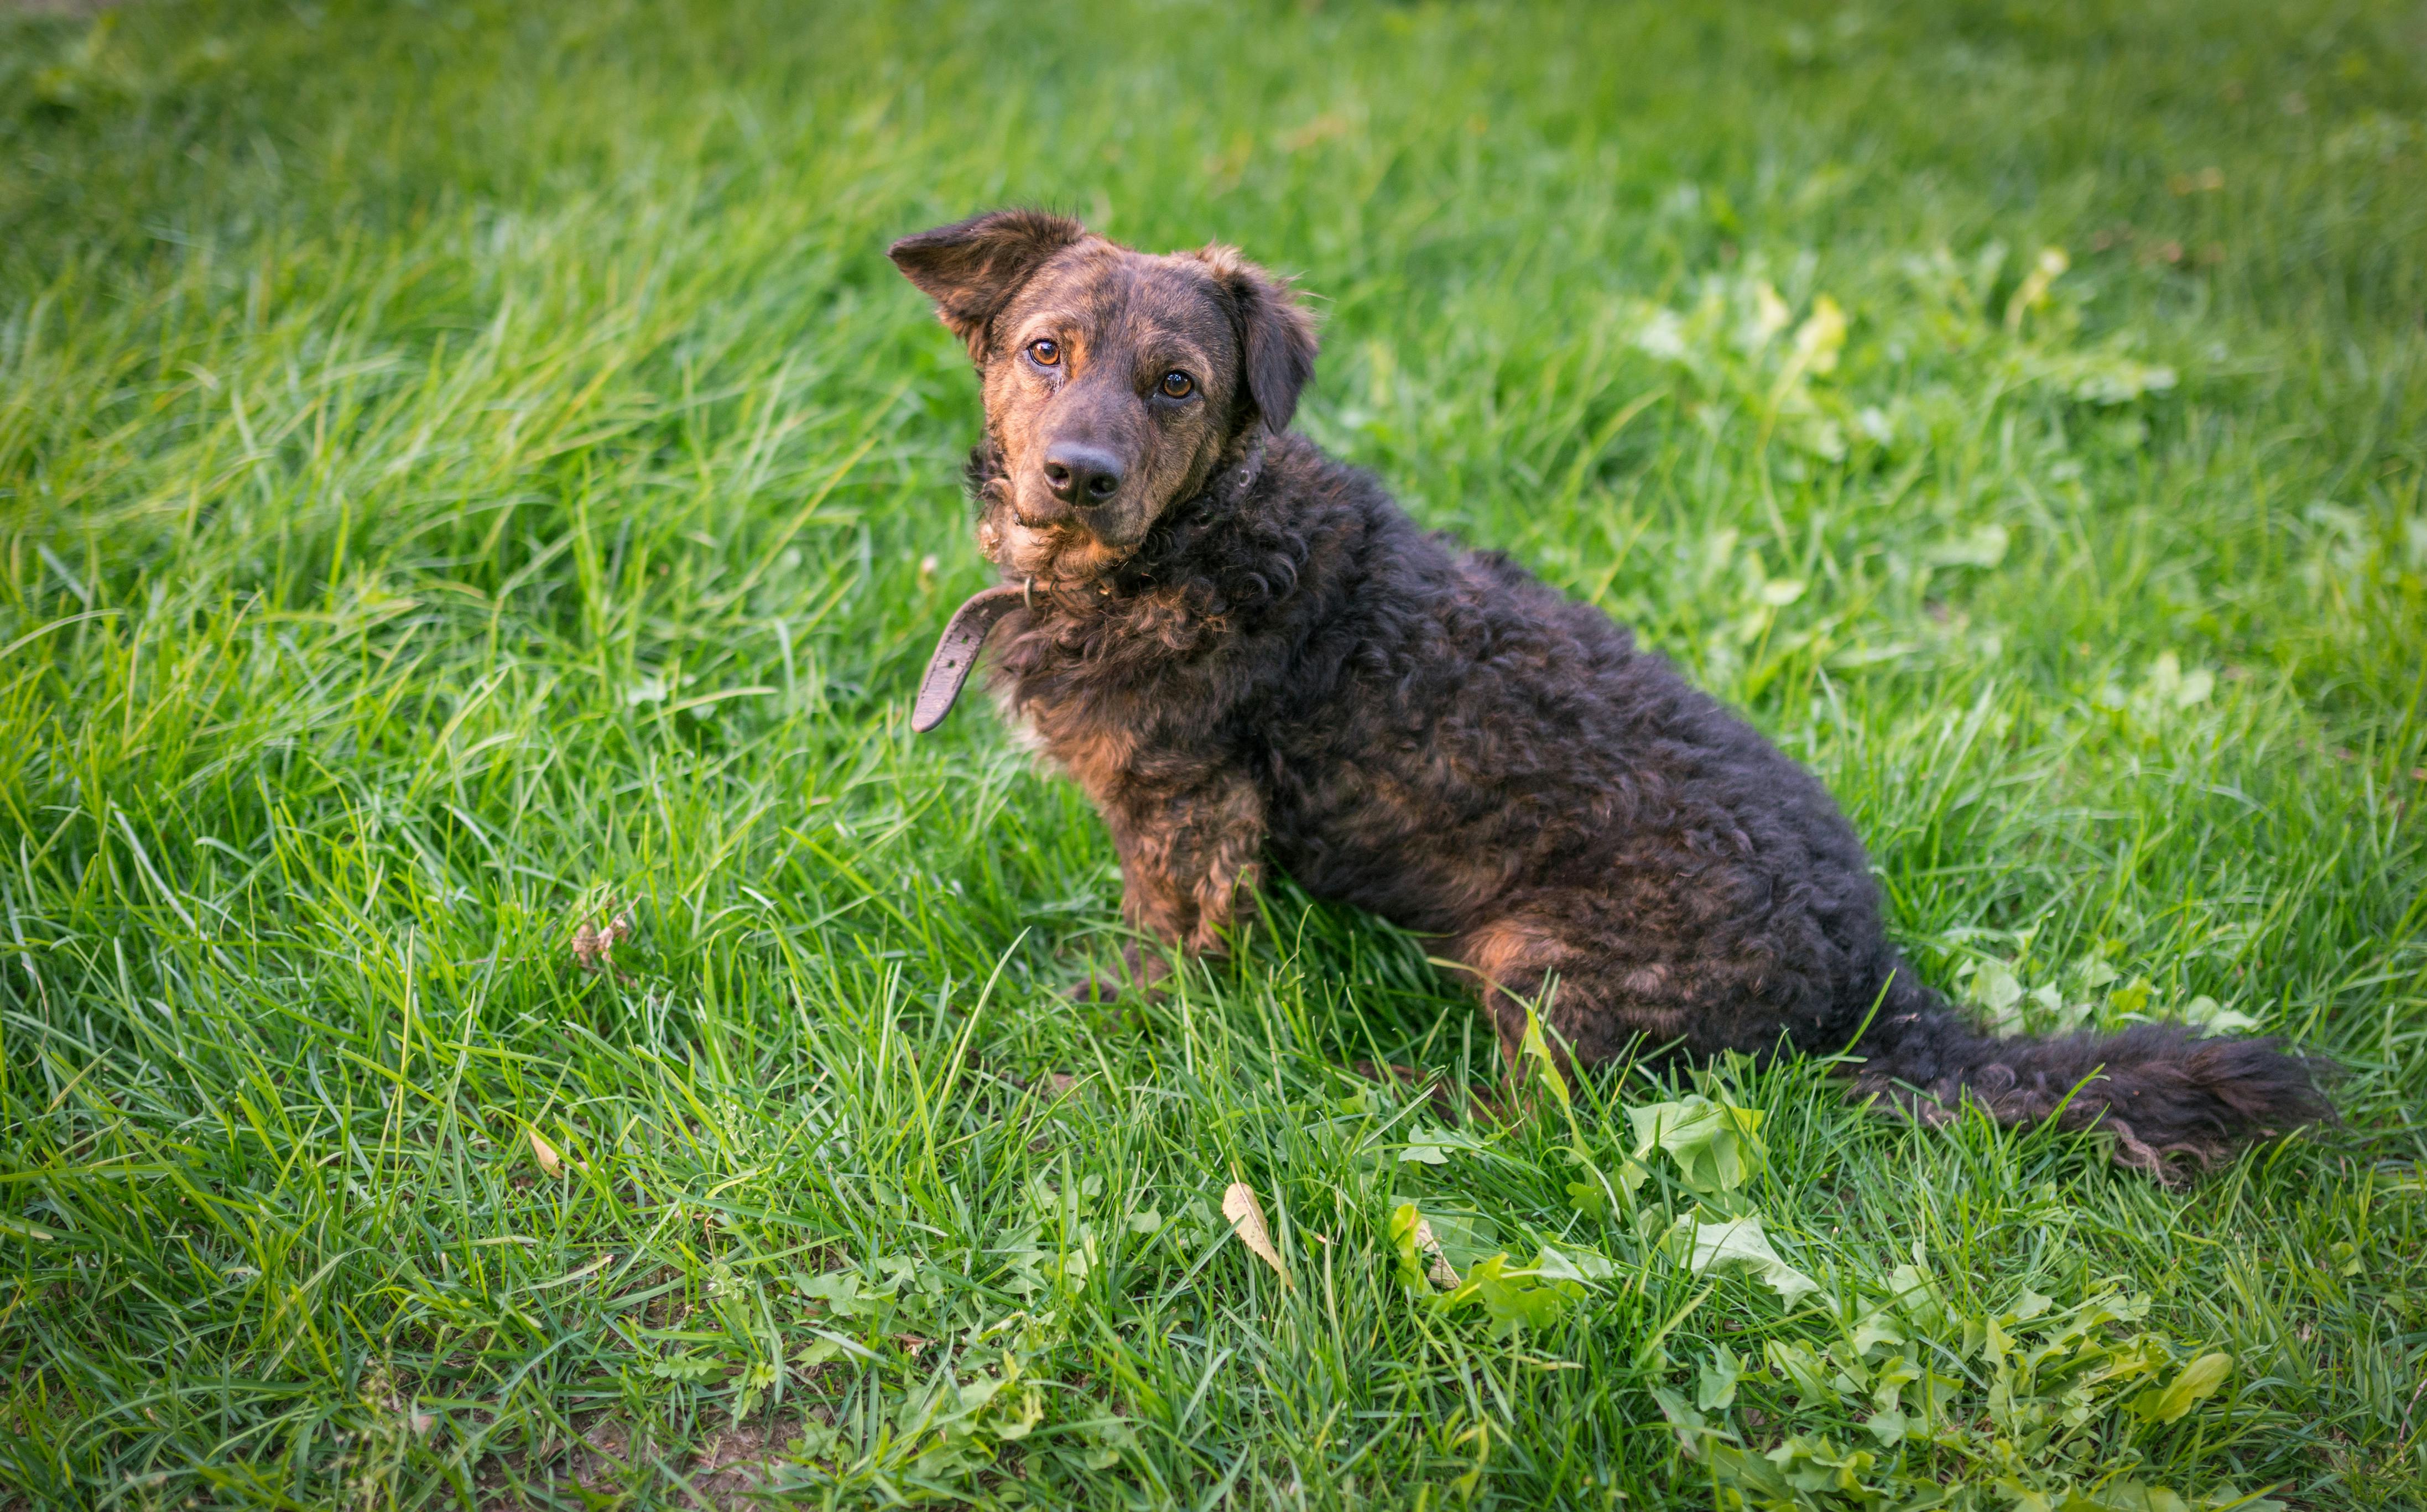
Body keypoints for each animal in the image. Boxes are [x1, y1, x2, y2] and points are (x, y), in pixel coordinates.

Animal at [883, 210, 2320, 1184]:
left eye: (1176, 382)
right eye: (1044, 350)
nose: (1077, 472)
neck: (1181, 548)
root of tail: (1870, 985)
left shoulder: (1185, 813)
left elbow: (1167, 945)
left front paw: (1114, 1014)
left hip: (1539, 959)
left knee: (1545, 1128)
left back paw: (1400, 1095)